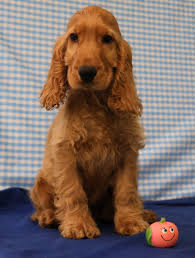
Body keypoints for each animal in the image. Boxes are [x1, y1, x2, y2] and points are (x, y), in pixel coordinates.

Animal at [29, 5, 157, 239]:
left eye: (107, 38)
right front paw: (78, 225)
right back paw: (49, 218)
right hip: (41, 183)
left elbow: (127, 191)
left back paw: (144, 213)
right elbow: (73, 192)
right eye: (74, 37)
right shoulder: (66, 152)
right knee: (41, 208)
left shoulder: (127, 152)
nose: (86, 72)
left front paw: (131, 221)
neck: (94, 102)